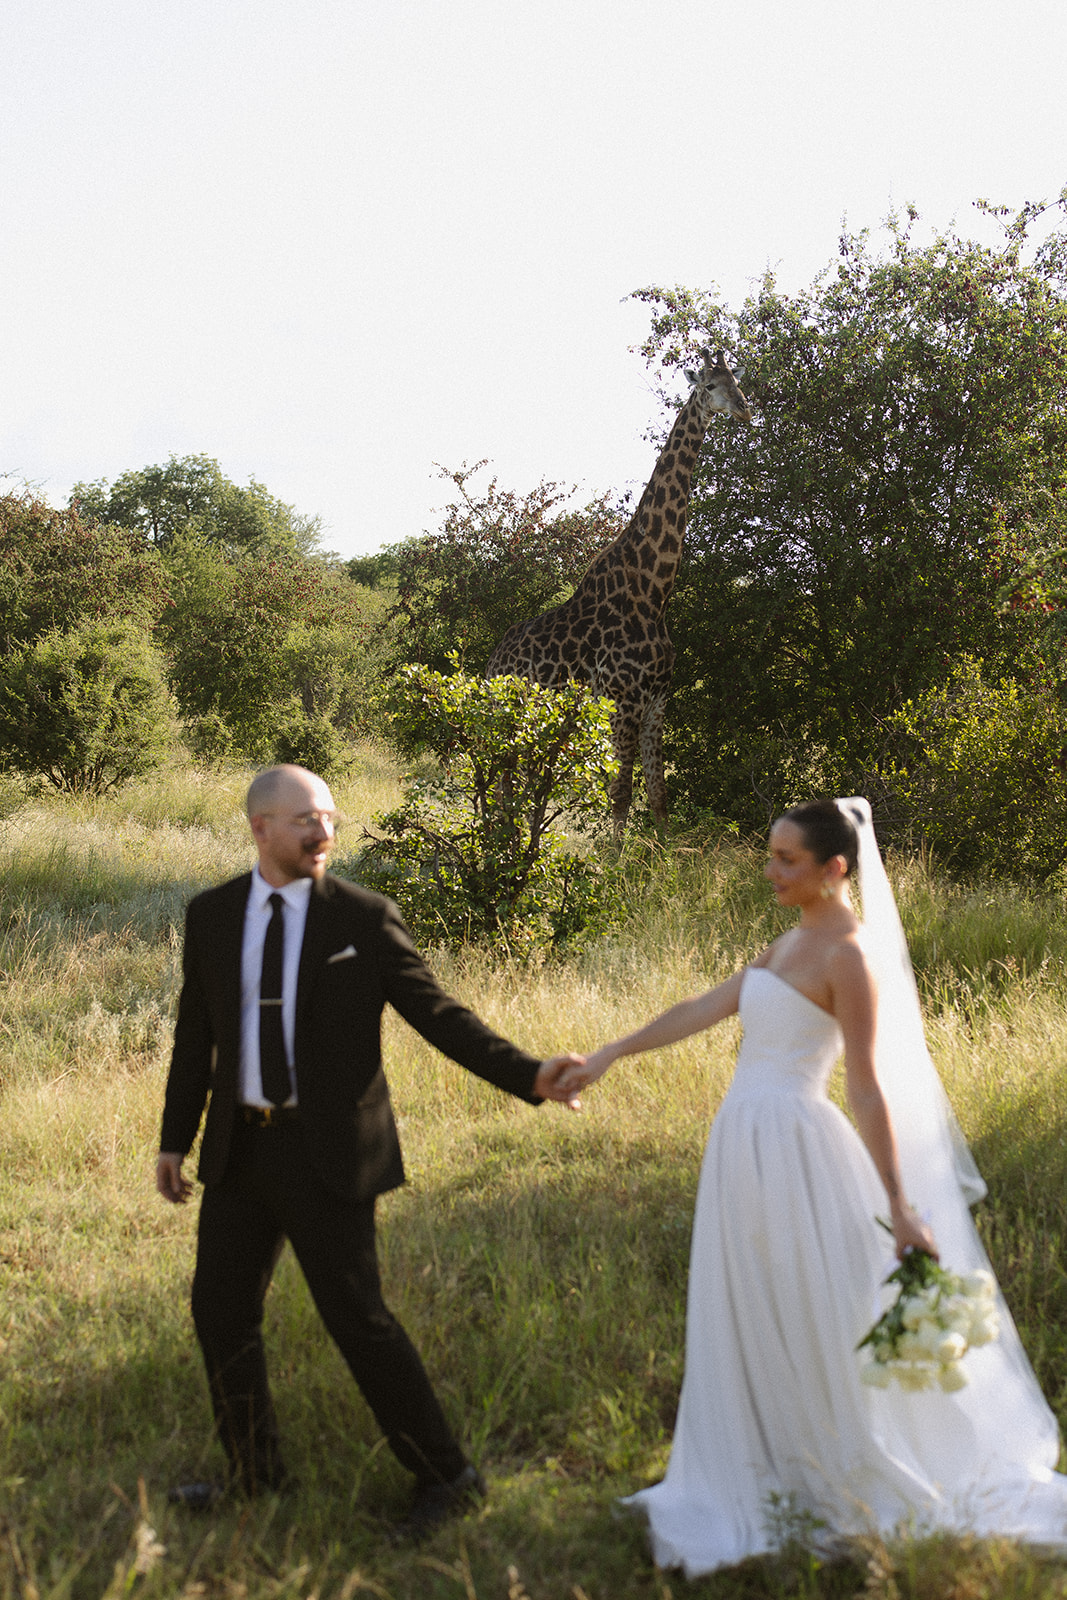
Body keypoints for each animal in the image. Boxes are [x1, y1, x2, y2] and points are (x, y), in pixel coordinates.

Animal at [486, 348, 751, 831]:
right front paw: (616, 853)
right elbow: (622, 794)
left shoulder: (657, 704)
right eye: (708, 385)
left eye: (737, 381)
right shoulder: (622, 702)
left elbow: (659, 796)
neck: (655, 590)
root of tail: (489, 664)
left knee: (518, 784)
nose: (743, 408)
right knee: (503, 783)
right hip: (506, 716)